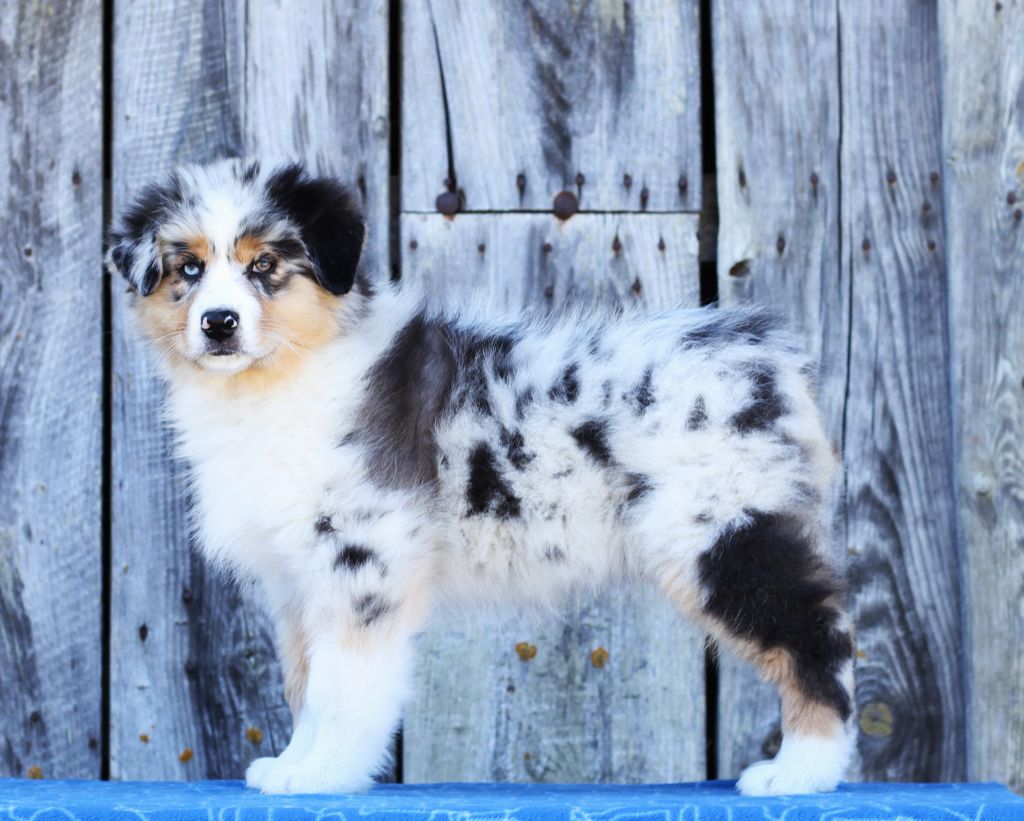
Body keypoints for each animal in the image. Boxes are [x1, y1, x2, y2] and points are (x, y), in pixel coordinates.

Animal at [106, 159, 855, 796]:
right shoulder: (299, 580)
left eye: (265, 265)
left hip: (721, 534)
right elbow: (307, 683)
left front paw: (323, 774)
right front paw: (295, 764)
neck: (275, 384)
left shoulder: (364, 558)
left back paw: (801, 772)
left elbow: (343, 686)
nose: (219, 323)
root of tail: (768, 360)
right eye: (188, 268)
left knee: (817, 638)